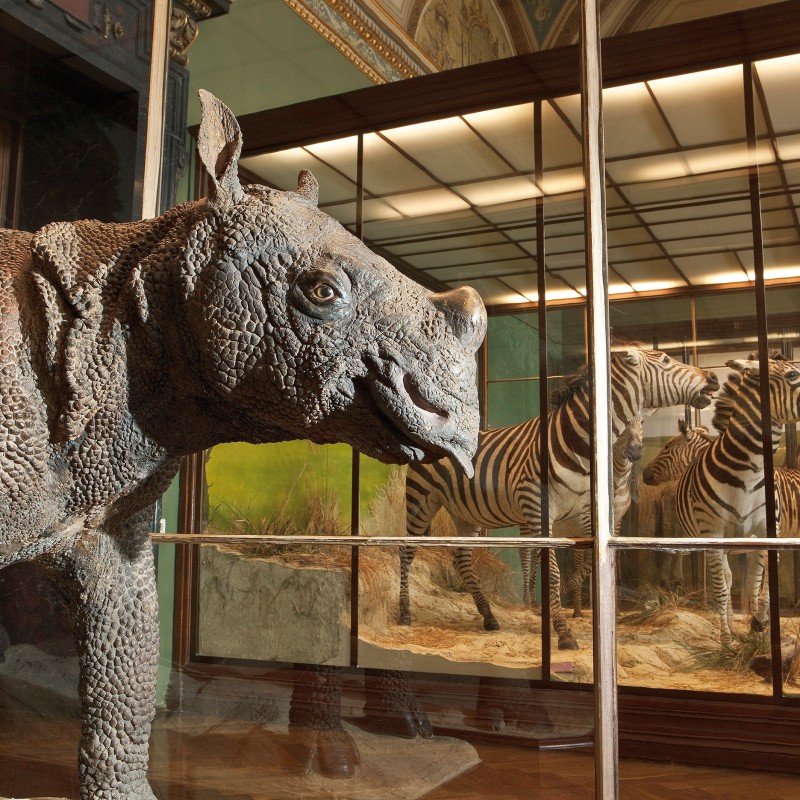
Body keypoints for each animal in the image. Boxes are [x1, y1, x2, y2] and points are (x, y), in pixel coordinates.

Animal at [400, 345, 719, 650]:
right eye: (665, 360)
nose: (714, 378)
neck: (575, 442)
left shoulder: (583, 514)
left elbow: (588, 563)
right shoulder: (539, 508)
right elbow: (552, 571)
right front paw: (563, 631)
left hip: (466, 512)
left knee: (462, 561)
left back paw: (489, 616)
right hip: (421, 499)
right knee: (407, 550)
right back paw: (404, 614)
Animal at [675, 354, 800, 645]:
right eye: (792, 375)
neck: (749, 469)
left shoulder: (768, 531)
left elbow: (764, 586)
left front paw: (759, 623)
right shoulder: (713, 533)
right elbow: (722, 589)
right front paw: (726, 639)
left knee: (750, 581)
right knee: (727, 581)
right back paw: (731, 627)